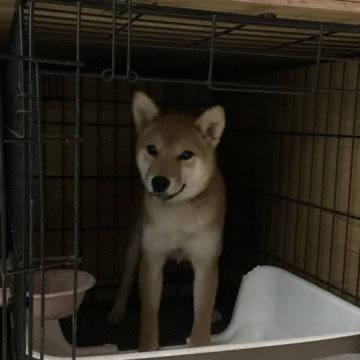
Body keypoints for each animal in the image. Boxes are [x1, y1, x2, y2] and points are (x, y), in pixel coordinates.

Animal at [107, 90, 225, 352]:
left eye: (186, 155)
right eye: (152, 149)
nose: (158, 182)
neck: (178, 213)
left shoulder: (205, 261)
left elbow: (201, 316)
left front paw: (200, 345)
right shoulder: (152, 259)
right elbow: (149, 315)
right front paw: (147, 350)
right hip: (135, 242)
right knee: (126, 277)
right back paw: (117, 310)